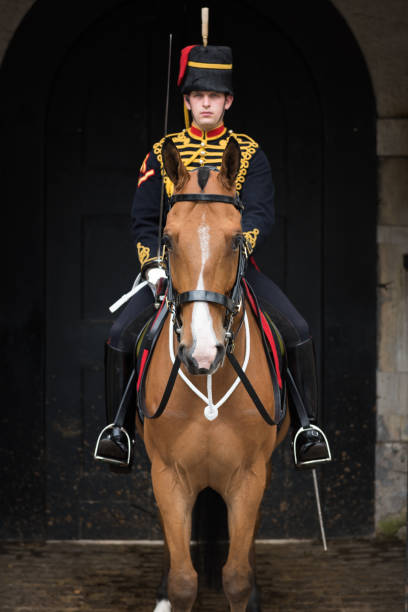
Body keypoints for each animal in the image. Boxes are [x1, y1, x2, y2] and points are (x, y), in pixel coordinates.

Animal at [137, 139, 290, 612]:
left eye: (236, 239)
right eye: (167, 239)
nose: (202, 354)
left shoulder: (249, 476)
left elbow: (236, 577)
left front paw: (248, 591)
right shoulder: (167, 475)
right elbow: (185, 580)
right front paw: (169, 591)